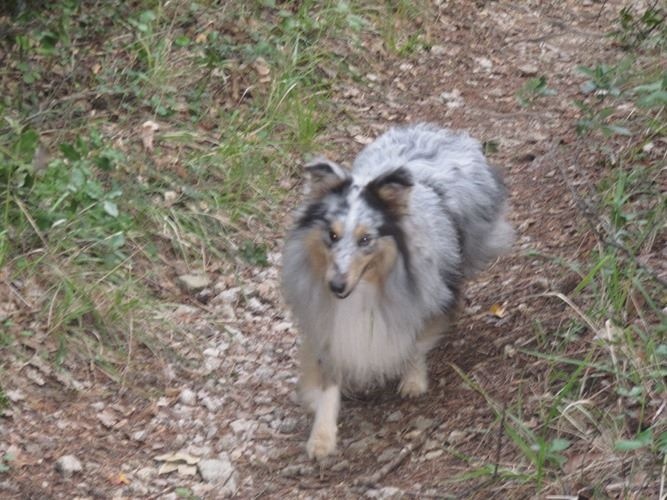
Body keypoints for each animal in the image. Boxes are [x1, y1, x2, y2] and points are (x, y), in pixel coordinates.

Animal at [282, 123, 516, 458]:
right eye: (332, 235)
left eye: (366, 239)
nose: (336, 286)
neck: (366, 288)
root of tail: (435, 130)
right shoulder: (325, 324)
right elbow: (327, 383)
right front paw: (321, 438)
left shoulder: (426, 299)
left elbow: (415, 343)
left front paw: (413, 381)